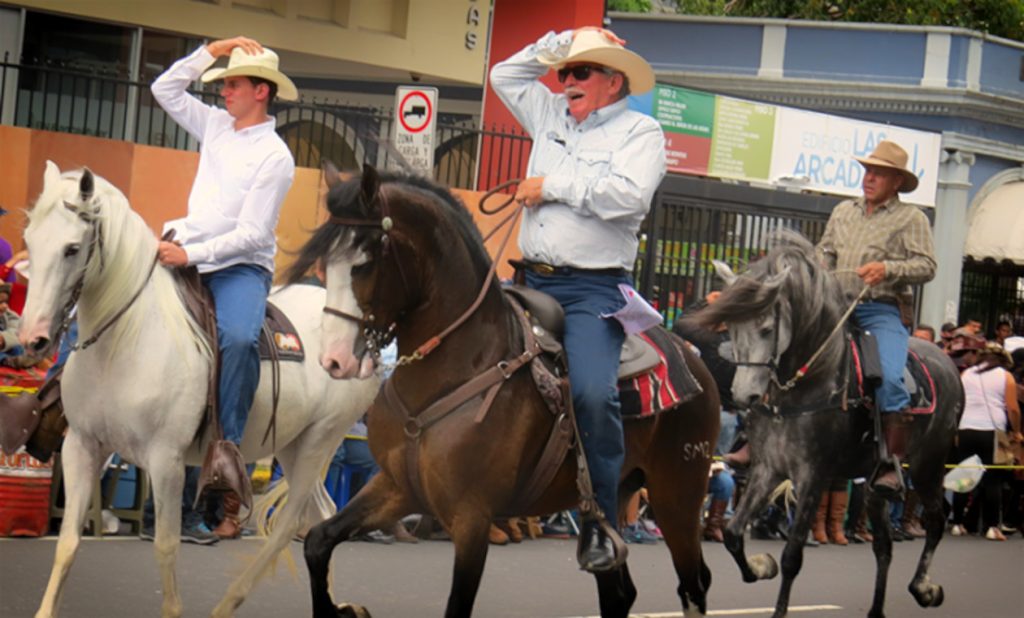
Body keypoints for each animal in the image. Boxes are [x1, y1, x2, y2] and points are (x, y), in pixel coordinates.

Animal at [18, 162, 380, 618]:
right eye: (30, 241)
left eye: (71, 249)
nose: (33, 339)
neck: (125, 341)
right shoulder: (81, 446)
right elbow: (67, 543)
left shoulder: (166, 461)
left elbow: (166, 547)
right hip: (294, 446)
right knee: (322, 515)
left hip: (322, 439)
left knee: (290, 525)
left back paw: (229, 602)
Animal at [288, 165, 720, 618]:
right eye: (325, 263)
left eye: (365, 262)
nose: (334, 359)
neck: (460, 366)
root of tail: (692, 359)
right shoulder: (396, 487)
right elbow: (318, 542)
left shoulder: (472, 518)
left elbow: (457, 606)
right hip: (620, 496)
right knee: (619, 591)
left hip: (678, 497)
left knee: (693, 583)